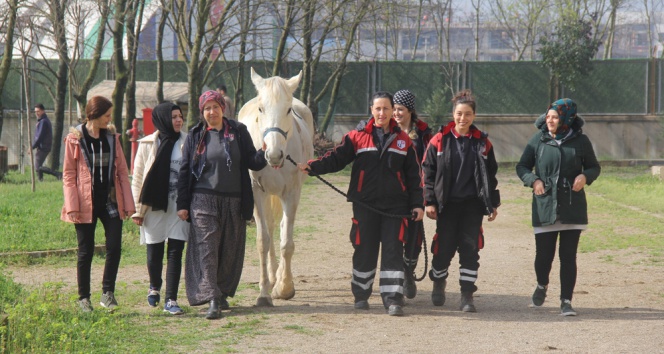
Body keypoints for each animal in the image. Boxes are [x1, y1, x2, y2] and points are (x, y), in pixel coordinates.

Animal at [239, 68, 314, 306]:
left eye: (288, 109)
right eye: (261, 109)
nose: (273, 154)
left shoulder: (291, 193)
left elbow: (287, 242)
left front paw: (285, 288)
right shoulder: (257, 193)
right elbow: (263, 240)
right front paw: (264, 293)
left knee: (280, 228)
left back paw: (279, 277)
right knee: (271, 228)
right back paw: (272, 277)